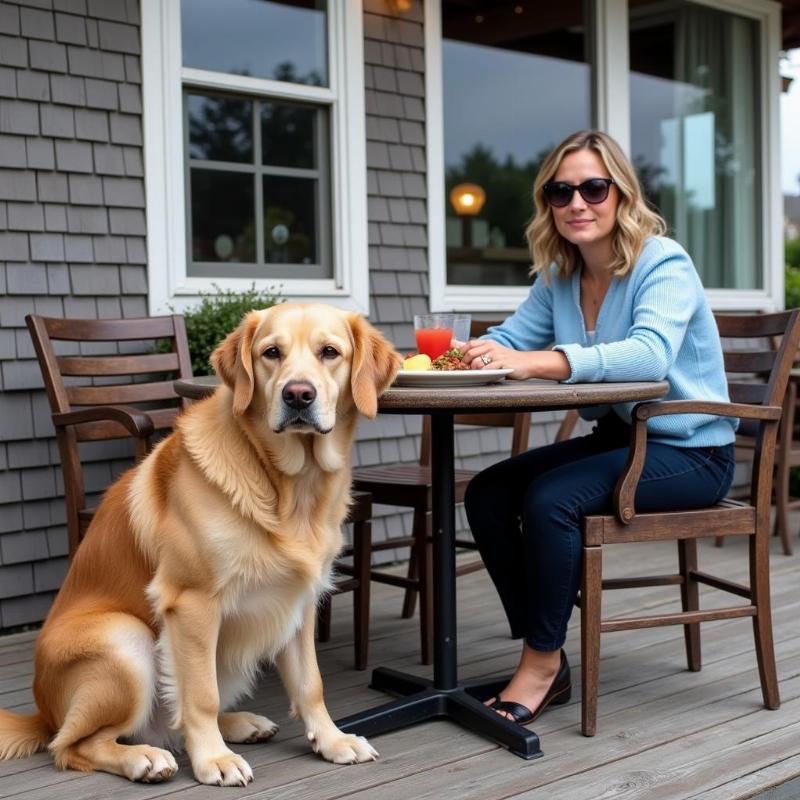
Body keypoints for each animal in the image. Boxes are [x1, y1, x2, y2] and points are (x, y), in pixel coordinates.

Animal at [0, 304, 400, 784]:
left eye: (330, 352)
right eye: (271, 353)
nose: (298, 395)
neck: (288, 487)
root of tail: (41, 711)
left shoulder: (299, 601)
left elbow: (310, 684)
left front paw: (332, 740)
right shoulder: (191, 603)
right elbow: (201, 694)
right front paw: (213, 760)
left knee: (167, 719)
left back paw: (240, 724)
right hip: (127, 639)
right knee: (74, 745)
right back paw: (144, 758)